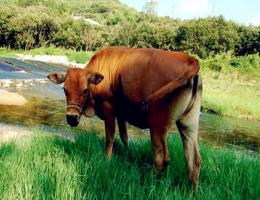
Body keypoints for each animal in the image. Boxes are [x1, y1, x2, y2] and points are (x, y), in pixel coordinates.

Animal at [47, 47, 202, 191]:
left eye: (84, 90)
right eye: (65, 90)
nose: (71, 118)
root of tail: (190, 60)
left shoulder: (109, 108)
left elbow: (110, 137)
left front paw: (107, 160)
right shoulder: (121, 114)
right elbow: (124, 136)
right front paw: (128, 155)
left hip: (157, 125)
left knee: (162, 159)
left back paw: (151, 185)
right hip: (188, 124)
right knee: (194, 160)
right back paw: (192, 191)